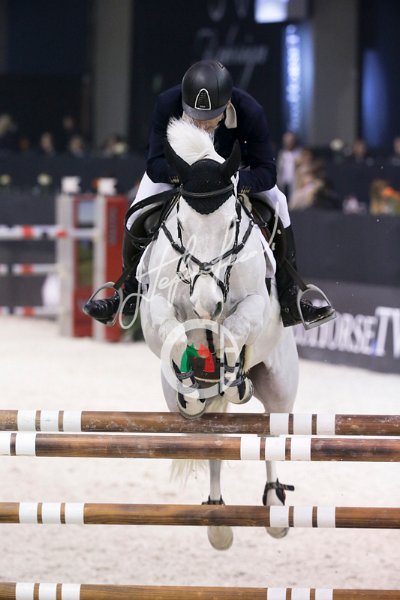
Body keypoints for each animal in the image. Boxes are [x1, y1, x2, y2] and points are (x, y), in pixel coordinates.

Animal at [137, 118, 299, 549]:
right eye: (181, 224)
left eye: (230, 223)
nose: (207, 302)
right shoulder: (155, 309)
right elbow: (174, 332)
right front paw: (195, 374)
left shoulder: (259, 306)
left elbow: (234, 332)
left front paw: (232, 374)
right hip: (179, 407)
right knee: (211, 438)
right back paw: (216, 517)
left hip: (280, 385)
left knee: (272, 433)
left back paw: (275, 503)